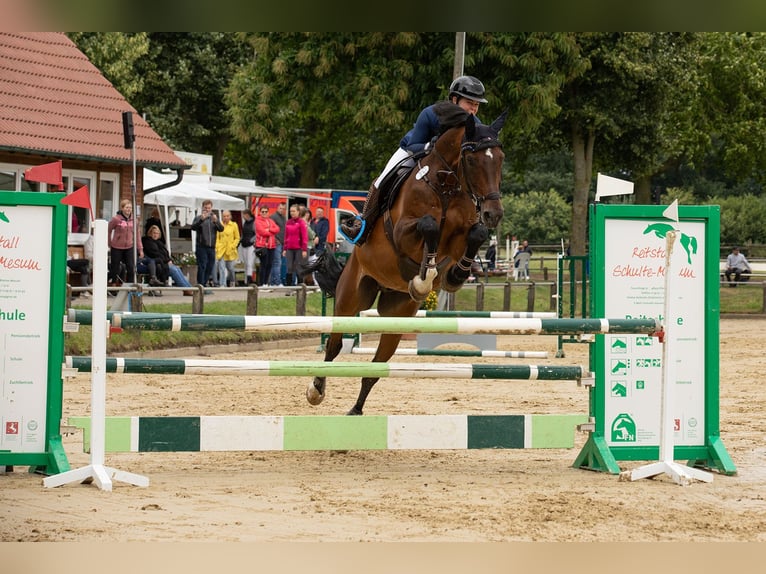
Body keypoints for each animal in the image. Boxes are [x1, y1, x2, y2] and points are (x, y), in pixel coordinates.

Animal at [306, 109, 510, 414]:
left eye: (500, 158)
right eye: (472, 159)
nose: (493, 213)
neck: (446, 185)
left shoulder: (459, 239)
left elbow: (476, 234)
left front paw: (454, 275)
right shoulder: (402, 233)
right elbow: (429, 226)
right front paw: (424, 278)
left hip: (396, 316)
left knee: (376, 367)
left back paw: (356, 410)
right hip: (350, 299)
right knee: (334, 344)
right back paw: (316, 390)